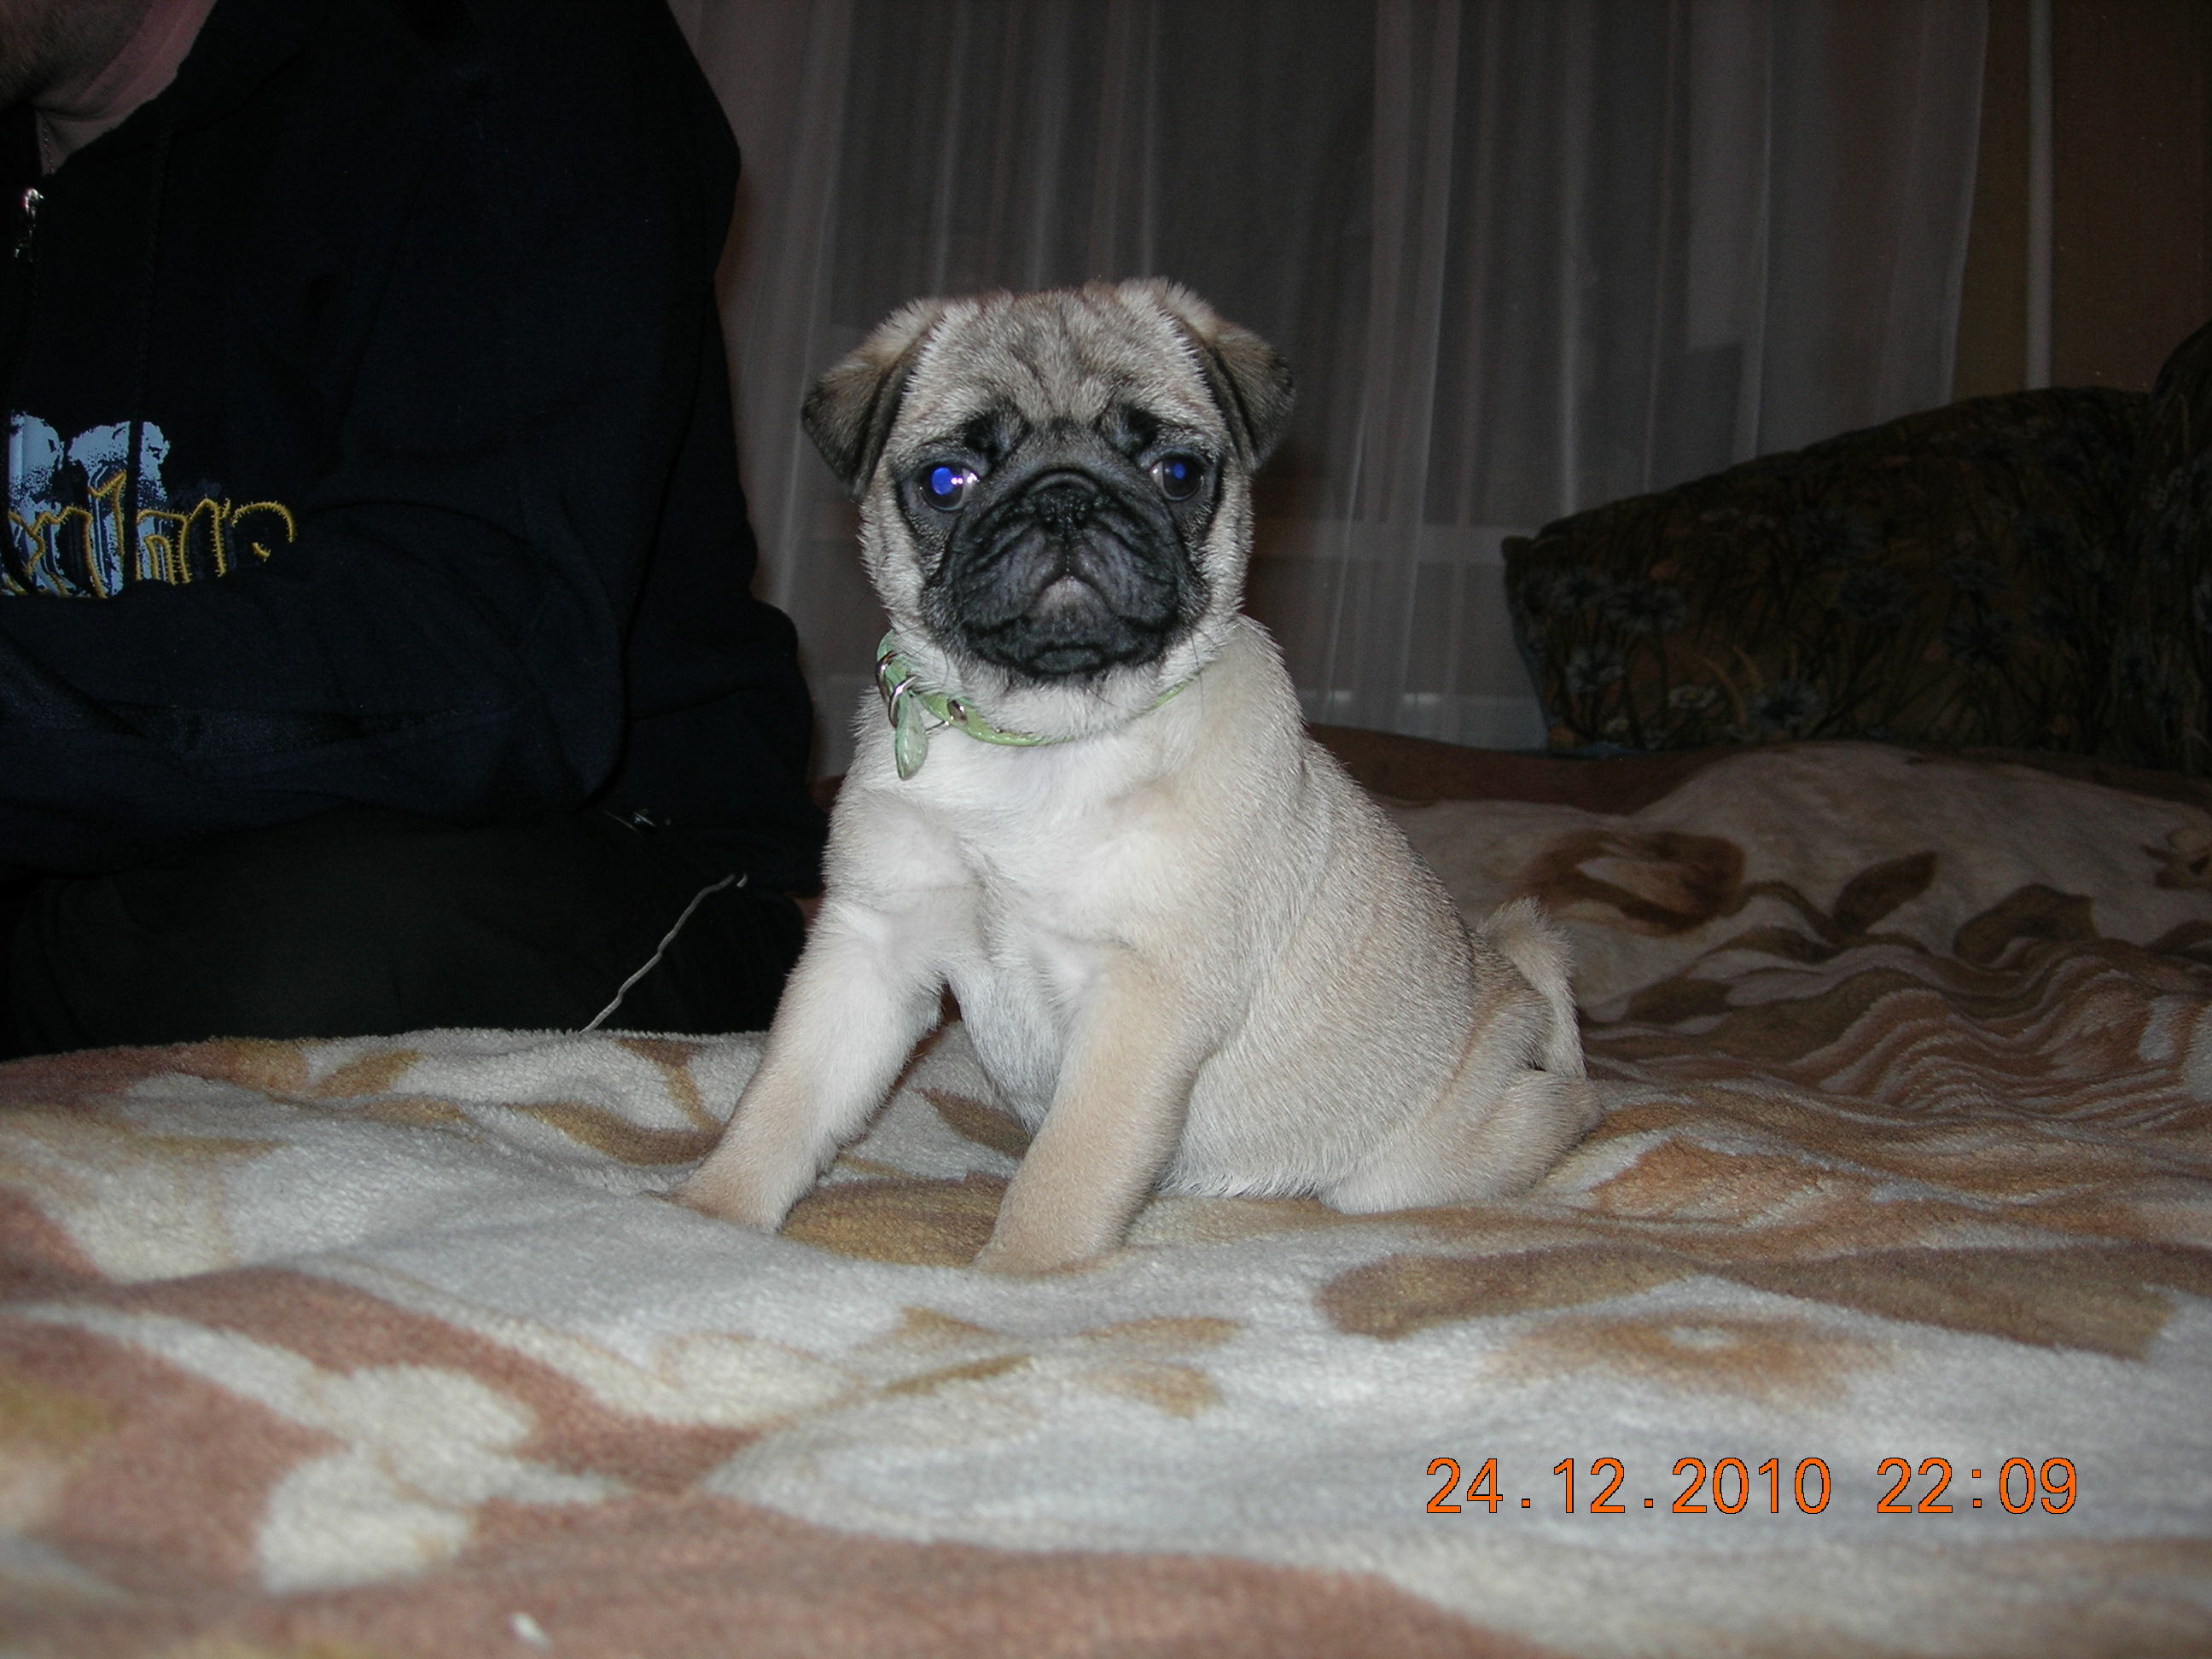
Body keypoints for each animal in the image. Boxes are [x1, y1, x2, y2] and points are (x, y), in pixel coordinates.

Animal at [678, 279, 1599, 1272]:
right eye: (947, 482)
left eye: (1179, 473)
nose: (1065, 501)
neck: (1038, 740)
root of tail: (1506, 991)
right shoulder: (869, 948)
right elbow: (784, 1097)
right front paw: (708, 1218)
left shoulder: (1142, 1000)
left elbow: (1068, 1170)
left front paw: (1022, 1275)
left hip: (1418, 1162)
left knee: (1554, 1109)